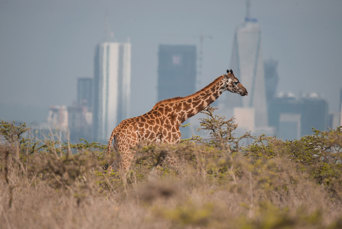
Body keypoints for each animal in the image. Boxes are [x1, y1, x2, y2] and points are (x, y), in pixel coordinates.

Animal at [105, 69, 247, 173]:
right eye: (236, 82)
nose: (245, 91)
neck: (180, 116)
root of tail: (115, 131)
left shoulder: (163, 150)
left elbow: (154, 173)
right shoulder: (170, 146)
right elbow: (180, 171)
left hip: (119, 151)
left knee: (111, 169)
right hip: (127, 152)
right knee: (123, 172)